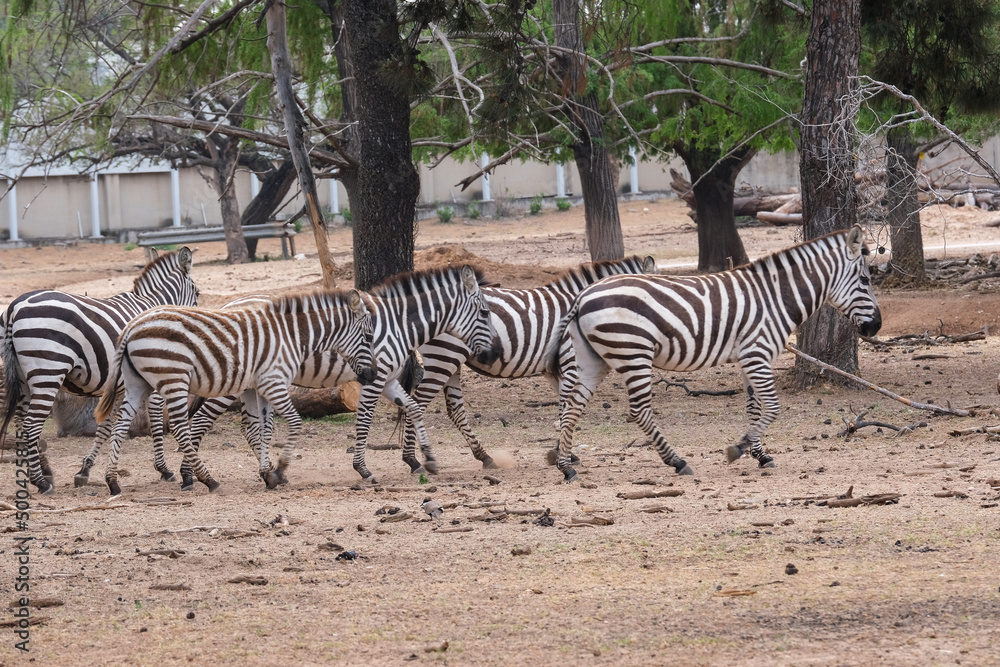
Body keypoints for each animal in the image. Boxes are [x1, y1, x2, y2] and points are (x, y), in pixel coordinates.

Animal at [0, 248, 199, 494]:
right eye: (197, 293)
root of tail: (14, 306)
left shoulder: (117, 387)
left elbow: (105, 428)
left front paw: (85, 470)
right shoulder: (151, 379)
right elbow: (154, 419)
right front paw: (164, 469)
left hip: (24, 378)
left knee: (21, 423)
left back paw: (44, 472)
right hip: (48, 372)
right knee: (31, 425)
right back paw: (42, 482)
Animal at [91, 288, 377, 496]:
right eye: (368, 337)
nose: (373, 375)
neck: (292, 336)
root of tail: (132, 325)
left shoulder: (257, 386)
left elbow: (262, 429)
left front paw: (267, 473)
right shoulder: (274, 381)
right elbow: (293, 423)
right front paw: (279, 470)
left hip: (138, 382)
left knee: (121, 425)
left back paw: (112, 482)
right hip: (174, 378)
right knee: (181, 428)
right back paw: (208, 480)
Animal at [184, 264, 502, 484]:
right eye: (486, 313)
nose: (496, 353)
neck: (399, 325)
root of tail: (227, 306)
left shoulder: (388, 379)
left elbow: (413, 408)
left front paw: (427, 459)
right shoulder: (374, 379)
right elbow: (364, 422)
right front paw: (363, 469)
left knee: (246, 427)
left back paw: (266, 472)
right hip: (231, 382)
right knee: (199, 421)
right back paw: (192, 475)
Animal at [400, 255, 657, 470]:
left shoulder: (555, 371)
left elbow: (564, 406)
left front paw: (561, 452)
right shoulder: (570, 363)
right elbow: (567, 406)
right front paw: (563, 455)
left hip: (451, 361)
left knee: (454, 409)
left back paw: (485, 457)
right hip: (444, 356)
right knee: (418, 402)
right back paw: (412, 459)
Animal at [548, 225, 882, 482]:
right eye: (865, 280)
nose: (877, 326)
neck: (776, 298)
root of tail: (582, 296)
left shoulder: (749, 358)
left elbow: (754, 408)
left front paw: (760, 454)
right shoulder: (757, 353)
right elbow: (773, 407)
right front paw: (739, 449)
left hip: (594, 359)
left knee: (573, 405)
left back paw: (566, 466)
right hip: (633, 353)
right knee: (638, 410)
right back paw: (677, 462)